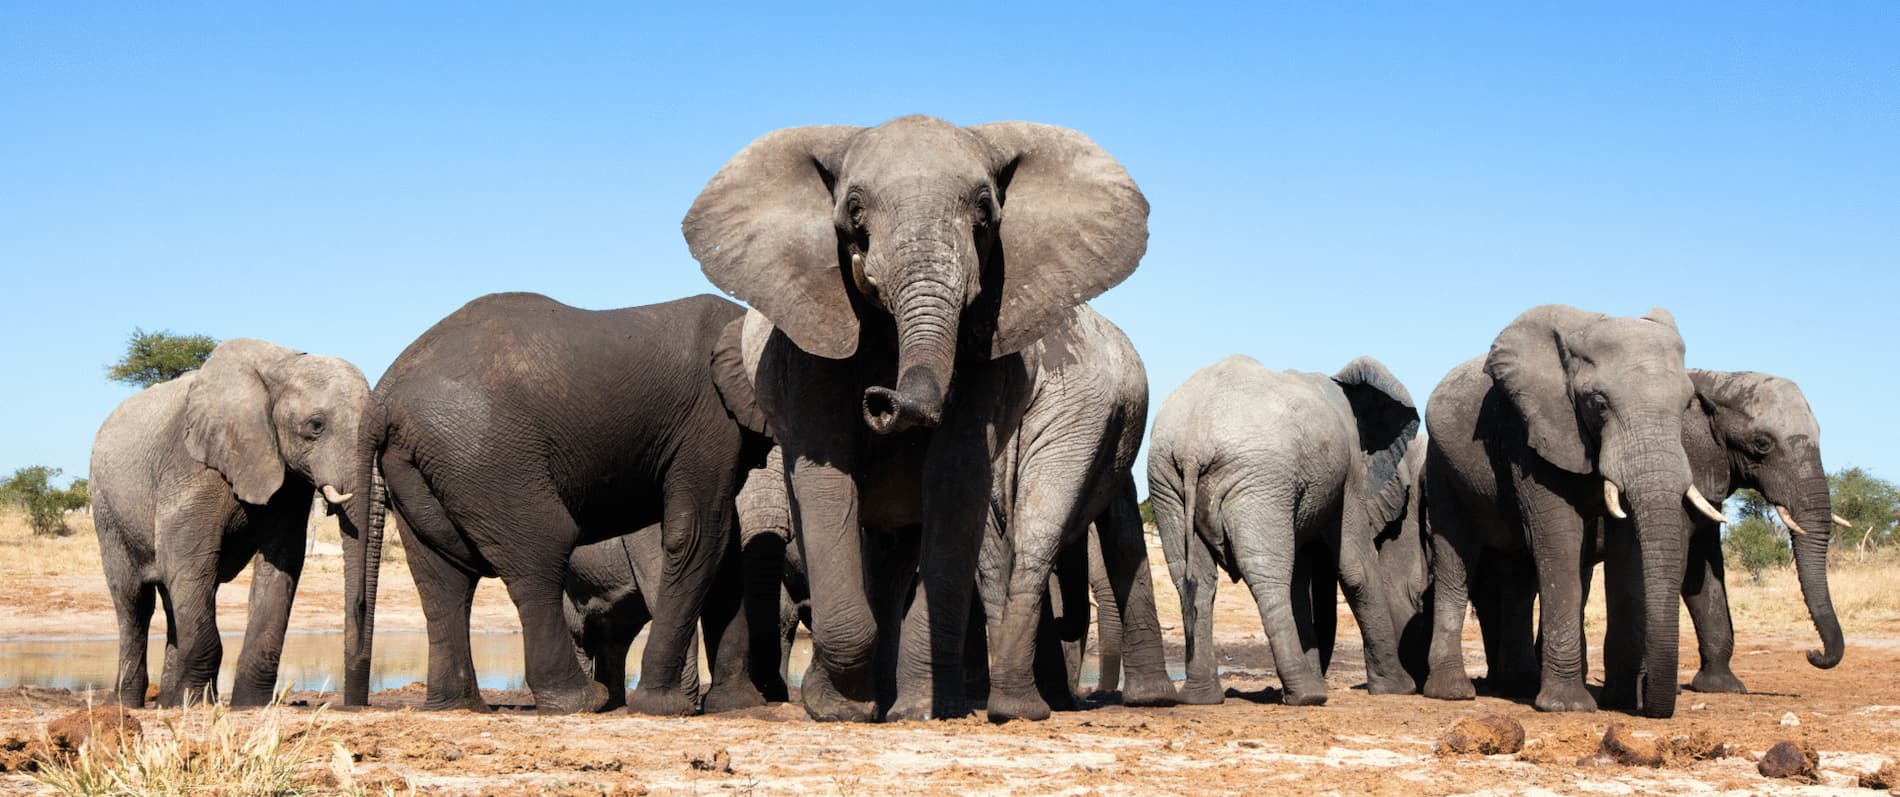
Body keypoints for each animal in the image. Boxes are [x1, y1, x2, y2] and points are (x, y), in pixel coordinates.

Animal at [90, 338, 371, 707]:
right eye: (316, 425)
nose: (355, 702)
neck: (280, 366)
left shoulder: (287, 478)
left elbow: (281, 563)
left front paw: (248, 705)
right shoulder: (191, 466)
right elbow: (190, 561)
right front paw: (195, 702)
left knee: (173, 597)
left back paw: (169, 701)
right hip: (106, 508)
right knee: (135, 601)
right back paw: (130, 703)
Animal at [344, 292, 771, 714]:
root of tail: (383, 396)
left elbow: (725, 549)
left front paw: (738, 704)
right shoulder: (709, 420)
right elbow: (698, 534)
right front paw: (664, 706)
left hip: (420, 464)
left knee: (442, 577)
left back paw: (459, 706)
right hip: (484, 454)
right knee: (540, 553)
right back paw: (582, 701)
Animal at [683, 115, 1151, 722]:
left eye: (985, 210)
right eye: (854, 210)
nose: (881, 400)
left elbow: (955, 479)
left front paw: (918, 710)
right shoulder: (806, 341)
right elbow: (827, 479)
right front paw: (838, 709)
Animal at [1147, 355, 1420, 706]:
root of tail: (1193, 444)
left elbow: (1300, 579)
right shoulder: (1349, 475)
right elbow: (1355, 569)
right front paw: (1400, 688)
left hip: (1167, 482)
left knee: (1193, 577)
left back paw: (1201, 697)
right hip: (1258, 479)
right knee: (1267, 572)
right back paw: (1307, 695)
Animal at [1421, 305, 1730, 718]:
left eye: (1685, 406)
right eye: (1599, 403)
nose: (1651, 702)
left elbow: (1626, 552)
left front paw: (1621, 701)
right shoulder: (1531, 433)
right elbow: (1560, 540)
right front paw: (1567, 706)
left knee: (1518, 576)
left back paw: (1519, 685)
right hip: (1441, 467)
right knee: (1456, 558)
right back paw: (1452, 692)